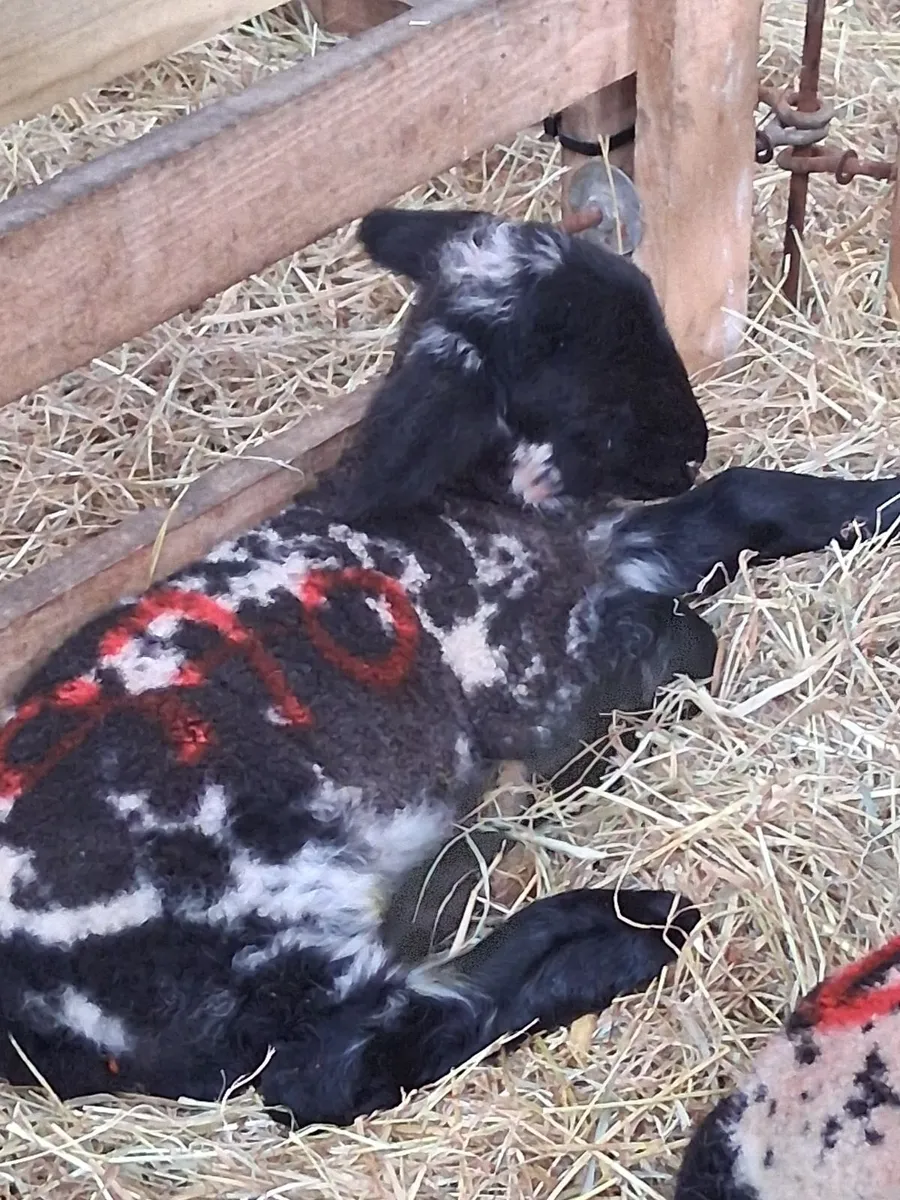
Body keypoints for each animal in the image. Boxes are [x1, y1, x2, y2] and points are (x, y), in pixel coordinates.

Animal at [1, 205, 899, 1133]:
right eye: (588, 381)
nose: (693, 444)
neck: (476, 502)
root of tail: (28, 1020)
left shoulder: (610, 553)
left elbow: (742, 501)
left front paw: (878, 500)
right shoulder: (531, 674)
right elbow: (683, 642)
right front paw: (583, 763)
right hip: (256, 908)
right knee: (347, 1059)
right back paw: (623, 930)